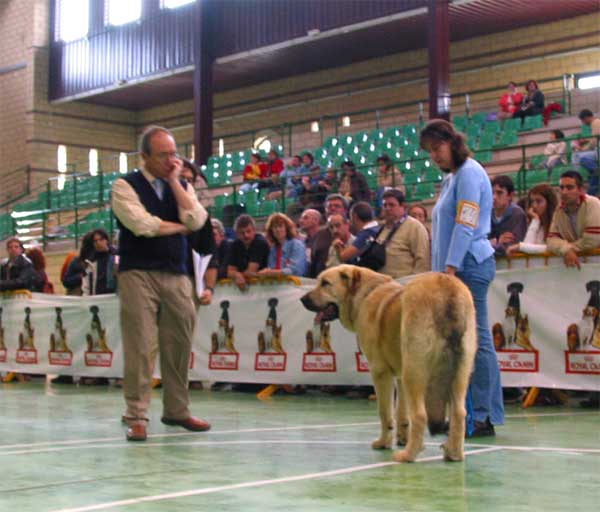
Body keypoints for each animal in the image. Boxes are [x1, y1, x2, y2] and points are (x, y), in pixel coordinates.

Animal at [302, 266, 476, 462]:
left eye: (325, 283)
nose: (303, 299)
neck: (364, 294)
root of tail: (446, 289)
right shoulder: (400, 376)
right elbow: (401, 412)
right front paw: (401, 438)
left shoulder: (380, 372)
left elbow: (385, 412)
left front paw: (384, 442)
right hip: (459, 374)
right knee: (459, 413)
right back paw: (454, 454)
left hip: (414, 372)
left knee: (420, 415)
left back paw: (408, 455)